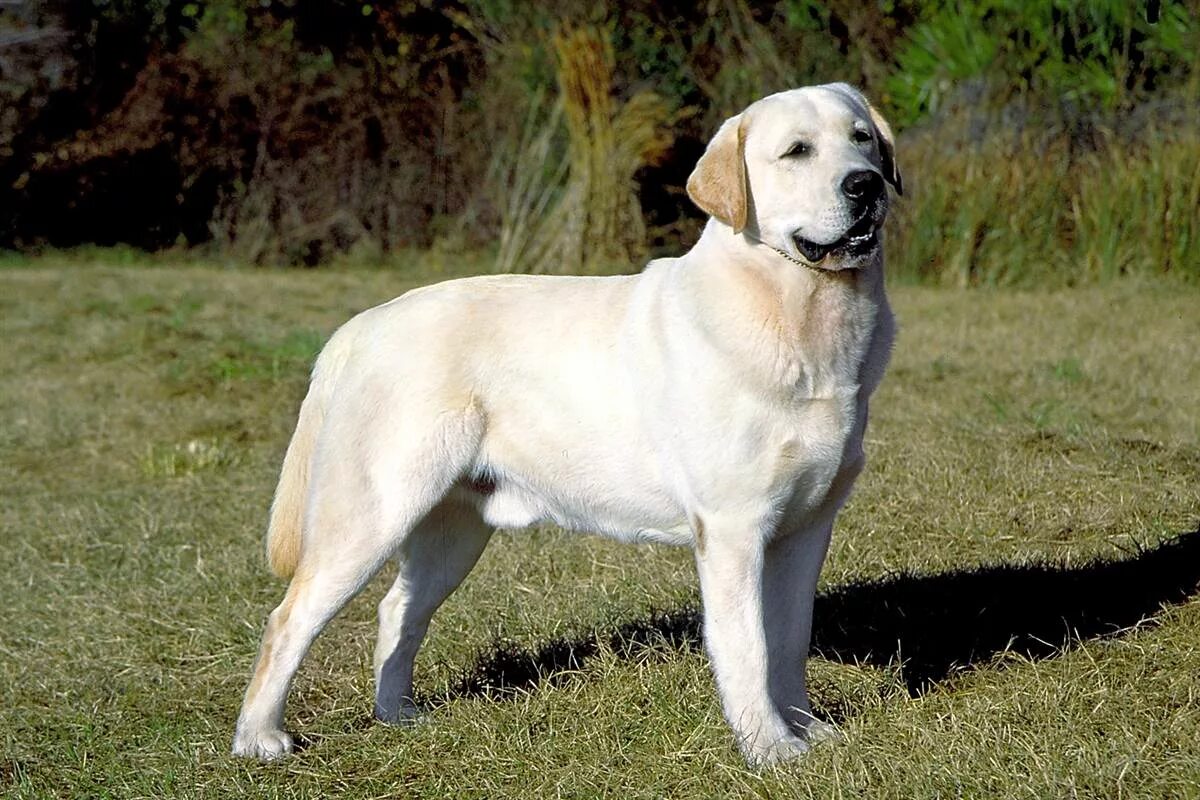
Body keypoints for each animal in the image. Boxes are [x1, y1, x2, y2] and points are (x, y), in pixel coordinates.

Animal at [231, 84, 902, 767]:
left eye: (862, 139)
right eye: (796, 151)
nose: (866, 184)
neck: (802, 314)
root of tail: (359, 326)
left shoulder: (808, 526)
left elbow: (790, 638)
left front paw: (807, 728)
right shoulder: (734, 528)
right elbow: (749, 648)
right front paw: (768, 748)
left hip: (455, 529)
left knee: (398, 610)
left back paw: (397, 715)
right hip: (372, 514)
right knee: (288, 619)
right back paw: (259, 739)